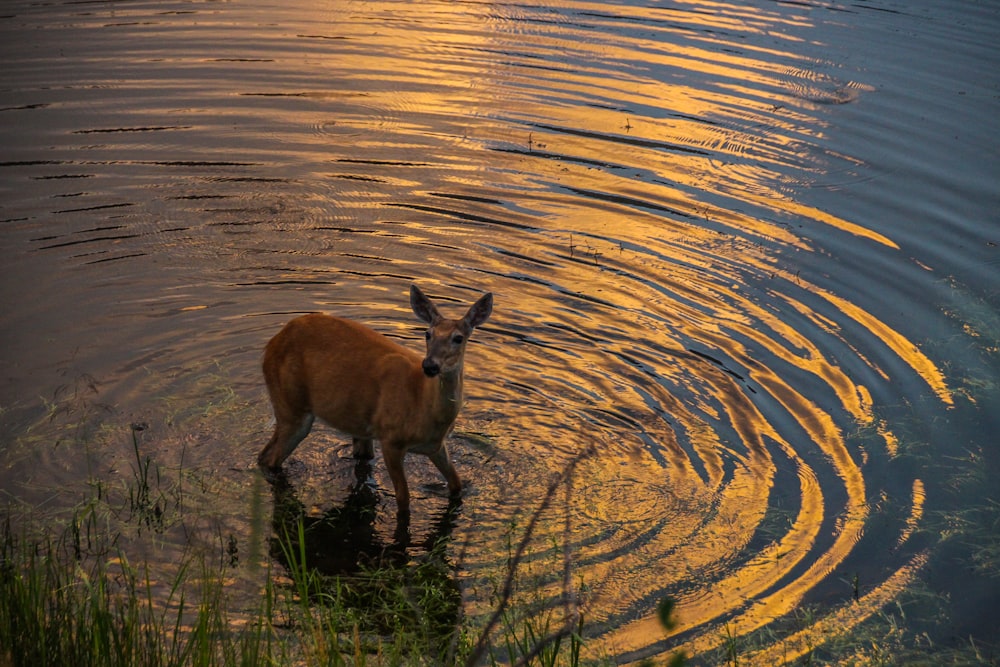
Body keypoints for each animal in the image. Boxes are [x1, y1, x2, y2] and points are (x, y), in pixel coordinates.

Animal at [258, 284, 492, 516]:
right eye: (427, 334)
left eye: (458, 338)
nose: (430, 365)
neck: (423, 408)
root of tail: (272, 343)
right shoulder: (390, 438)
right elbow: (403, 498)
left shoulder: (436, 446)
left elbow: (457, 485)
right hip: (291, 407)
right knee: (270, 459)